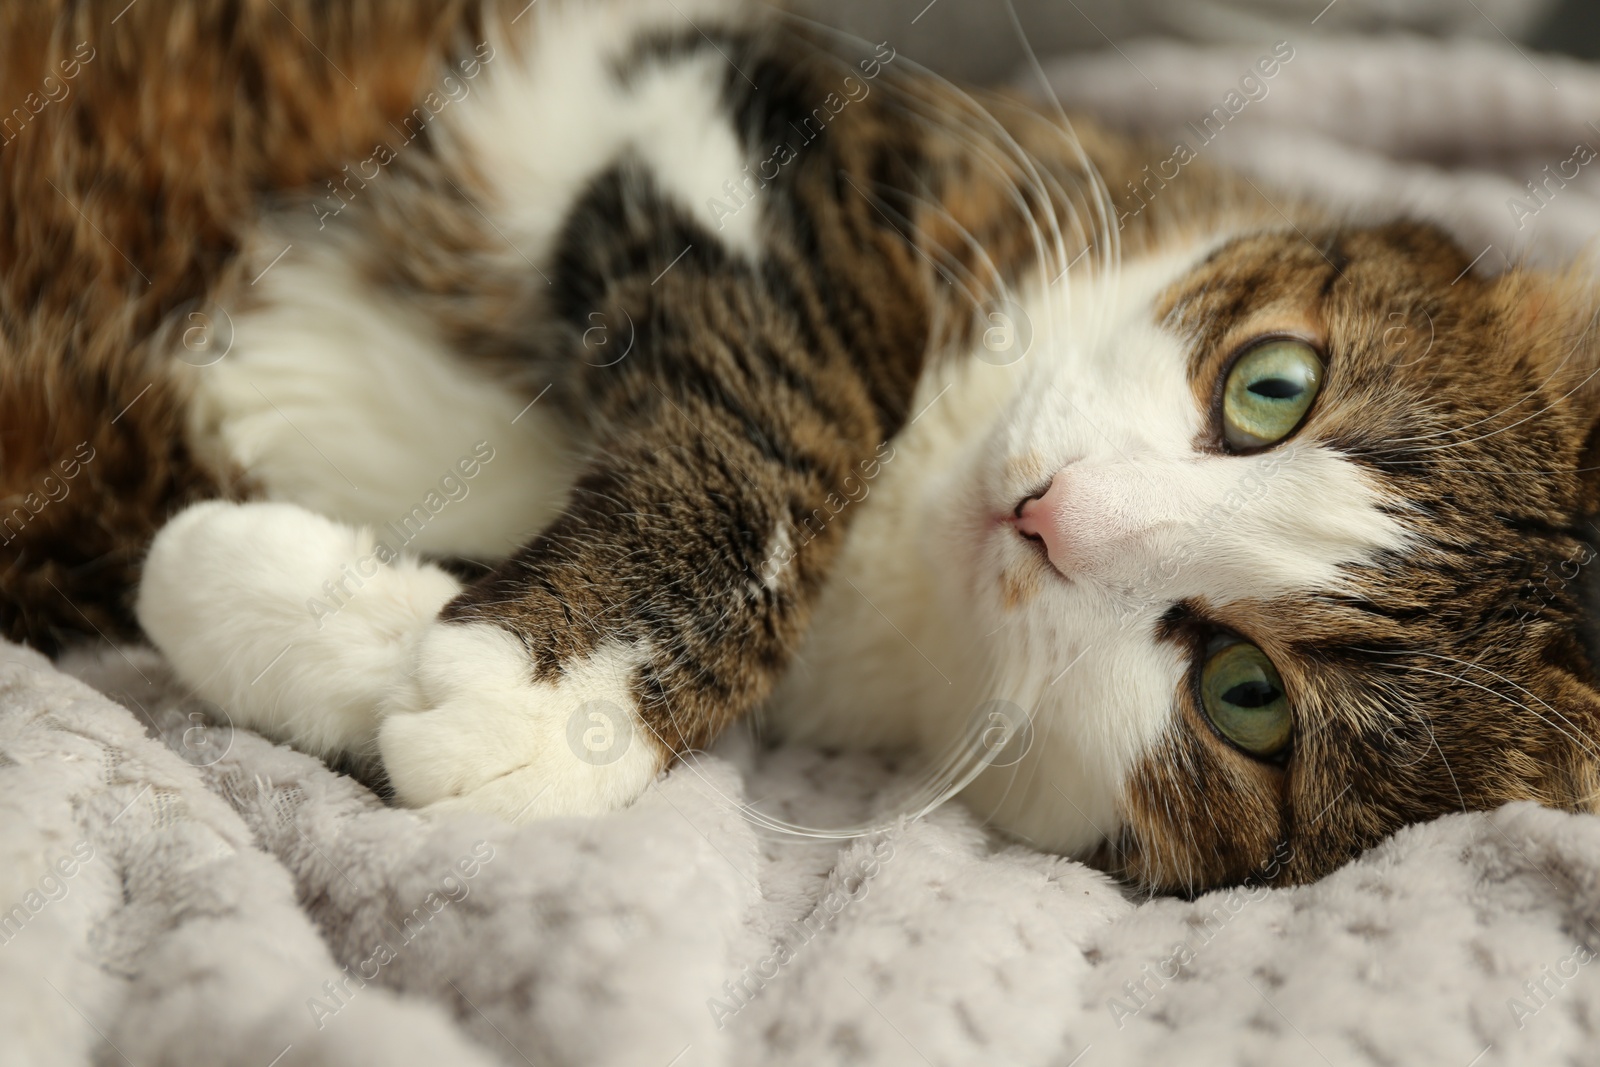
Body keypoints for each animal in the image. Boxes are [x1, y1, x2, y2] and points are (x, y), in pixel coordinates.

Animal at [3, 0, 1600, 895]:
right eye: (1273, 384)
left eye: (1246, 698)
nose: (1047, 513)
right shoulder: (721, 98)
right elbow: (805, 397)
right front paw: (558, 689)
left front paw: (283, 600)